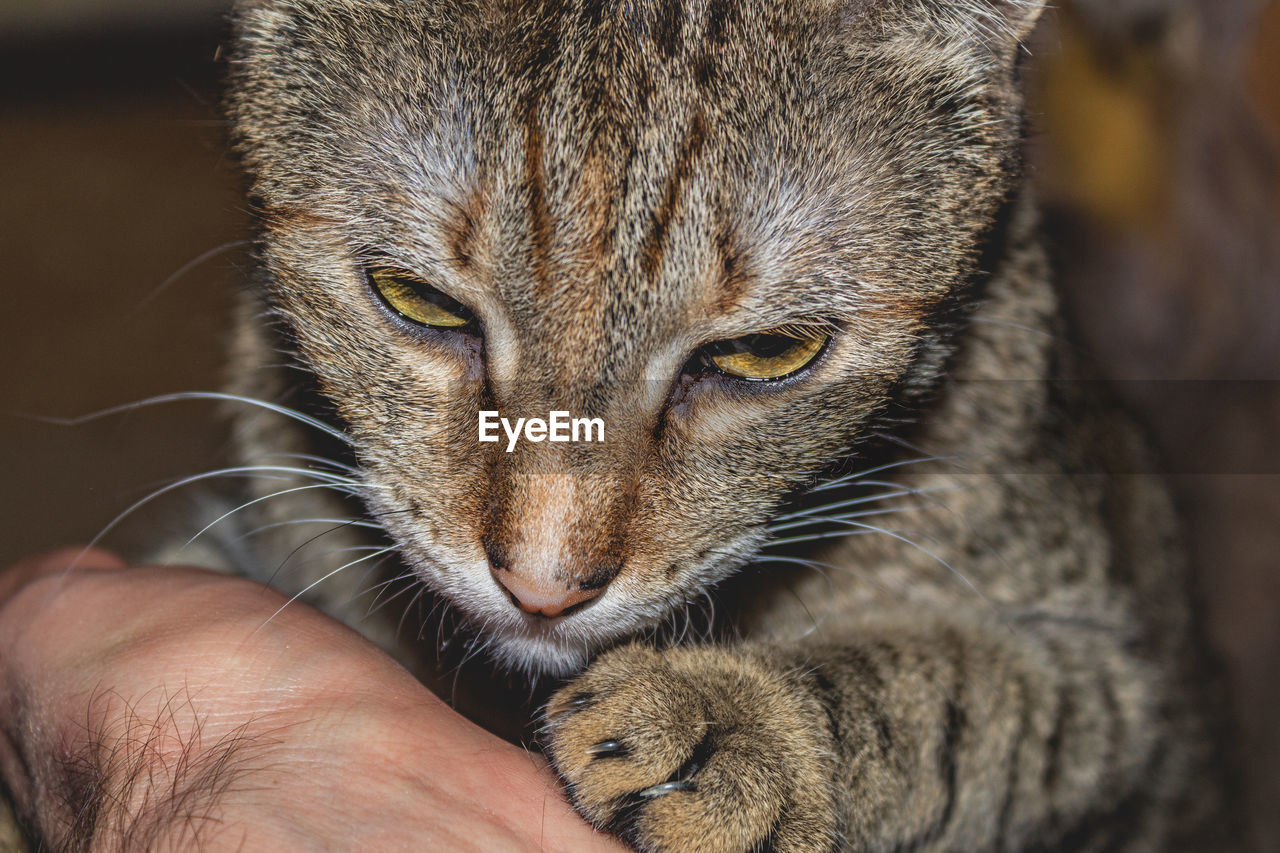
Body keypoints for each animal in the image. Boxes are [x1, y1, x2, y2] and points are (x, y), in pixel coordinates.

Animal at [204, 0, 1244, 845]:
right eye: (417, 300)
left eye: (766, 354)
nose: (543, 588)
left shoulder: (1117, 690)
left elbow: (955, 695)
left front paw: (744, 722)